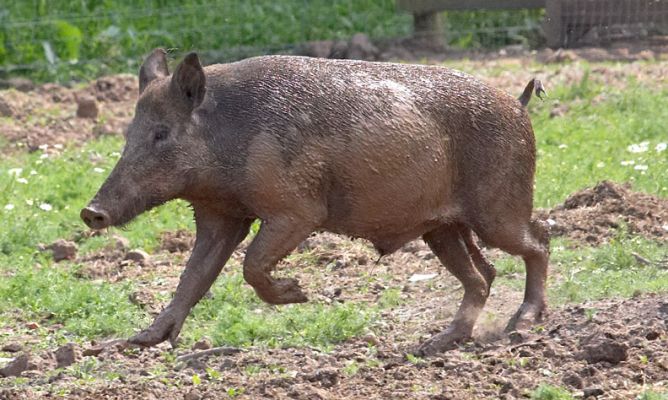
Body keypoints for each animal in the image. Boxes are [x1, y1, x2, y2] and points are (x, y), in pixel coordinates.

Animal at [81, 48, 549, 356]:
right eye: (129, 134)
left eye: (161, 133)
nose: (91, 212)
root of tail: (519, 104)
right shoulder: (220, 215)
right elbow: (193, 276)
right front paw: (141, 340)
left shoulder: (297, 210)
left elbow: (251, 264)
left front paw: (300, 295)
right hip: (443, 228)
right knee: (483, 275)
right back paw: (434, 345)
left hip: (499, 208)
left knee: (539, 241)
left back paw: (520, 325)